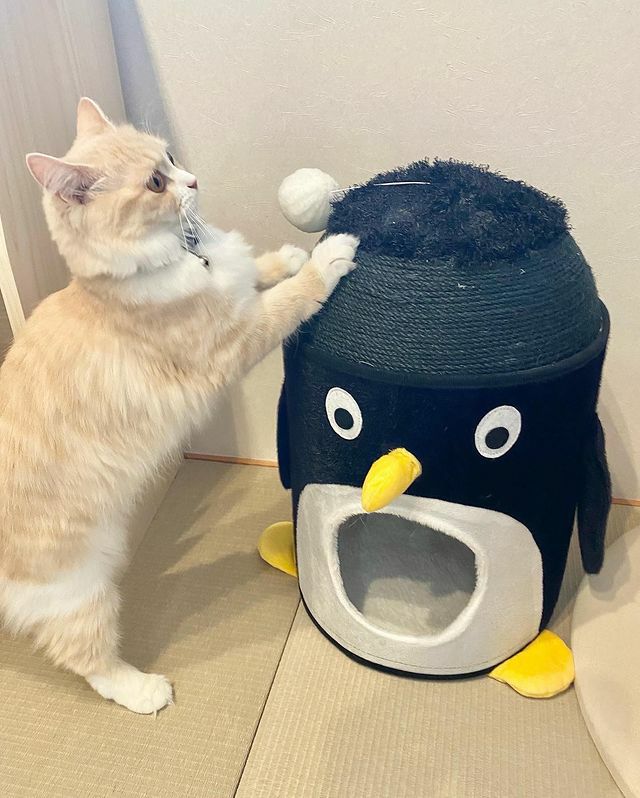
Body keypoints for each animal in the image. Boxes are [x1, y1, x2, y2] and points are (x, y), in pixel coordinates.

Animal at [0, 98, 358, 714]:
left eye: (167, 156)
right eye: (155, 183)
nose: (192, 180)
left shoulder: (234, 286)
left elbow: (254, 269)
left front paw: (284, 256)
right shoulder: (235, 341)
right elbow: (291, 299)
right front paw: (325, 258)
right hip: (78, 589)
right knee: (84, 657)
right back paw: (144, 691)